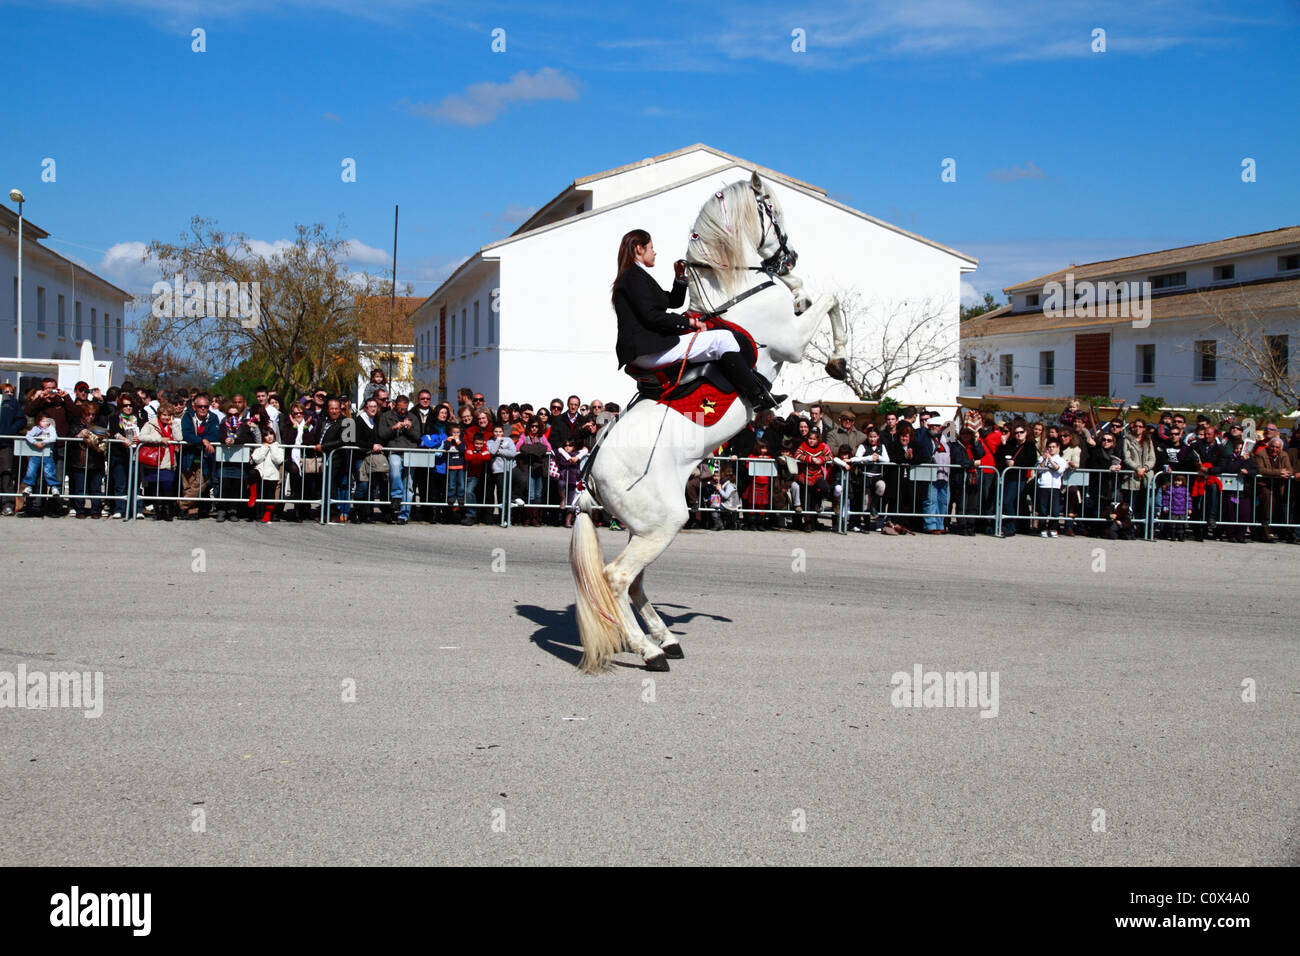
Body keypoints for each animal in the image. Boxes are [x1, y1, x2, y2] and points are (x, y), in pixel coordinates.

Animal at [574, 170, 847, 671]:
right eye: (773, 209)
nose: (790, 258)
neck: (735, 299)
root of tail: (592, 476)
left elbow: (821, 297)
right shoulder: (793, 342)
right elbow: (832, 299)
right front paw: (838, 360)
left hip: (648, 527)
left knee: (635, 583)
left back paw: (667, 640)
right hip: (662, 523)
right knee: (617, 579)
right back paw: (648, 651)